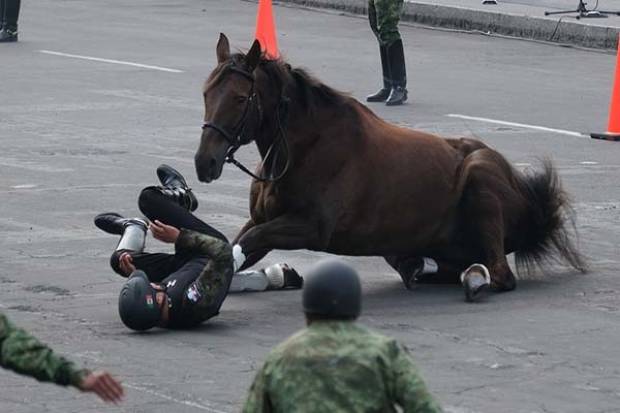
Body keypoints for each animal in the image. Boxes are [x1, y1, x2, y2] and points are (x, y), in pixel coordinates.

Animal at [195, 34, 588, 300]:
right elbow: (241, 242)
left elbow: (242, 245)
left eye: (240, 98)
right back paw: (427, 268)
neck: (306, 147)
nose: (204, 162)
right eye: (206, 92)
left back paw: (474, 278)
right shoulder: (262, 220)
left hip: (479, 175)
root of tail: (531, 200)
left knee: (501, 274)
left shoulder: (310, 228)